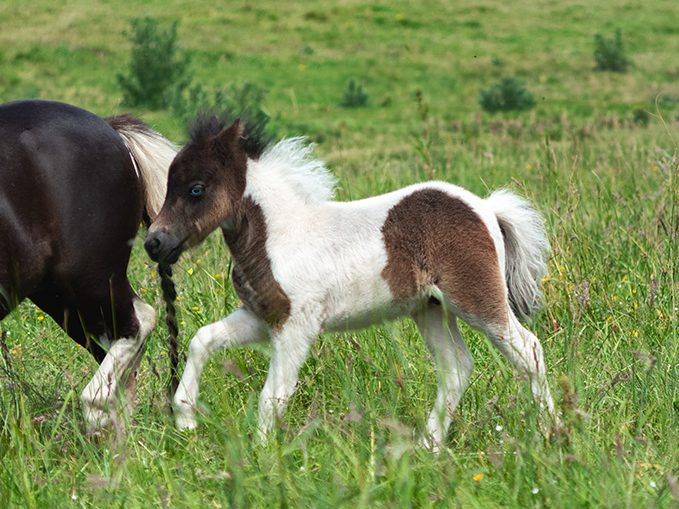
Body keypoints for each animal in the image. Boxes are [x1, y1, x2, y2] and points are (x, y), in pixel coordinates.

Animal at [145, 114, 556, 450]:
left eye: (196, 189)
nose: (154, 242)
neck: (281, 236)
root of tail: (486, 208)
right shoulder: (263, 317)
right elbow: (202, 340)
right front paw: (185, 419)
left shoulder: (296, 327)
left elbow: (272, 395)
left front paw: (262, 457)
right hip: (430, 309)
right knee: (456, 368)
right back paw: (429, 447)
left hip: (476, 299)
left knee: (529, 350)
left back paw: (550, 433)